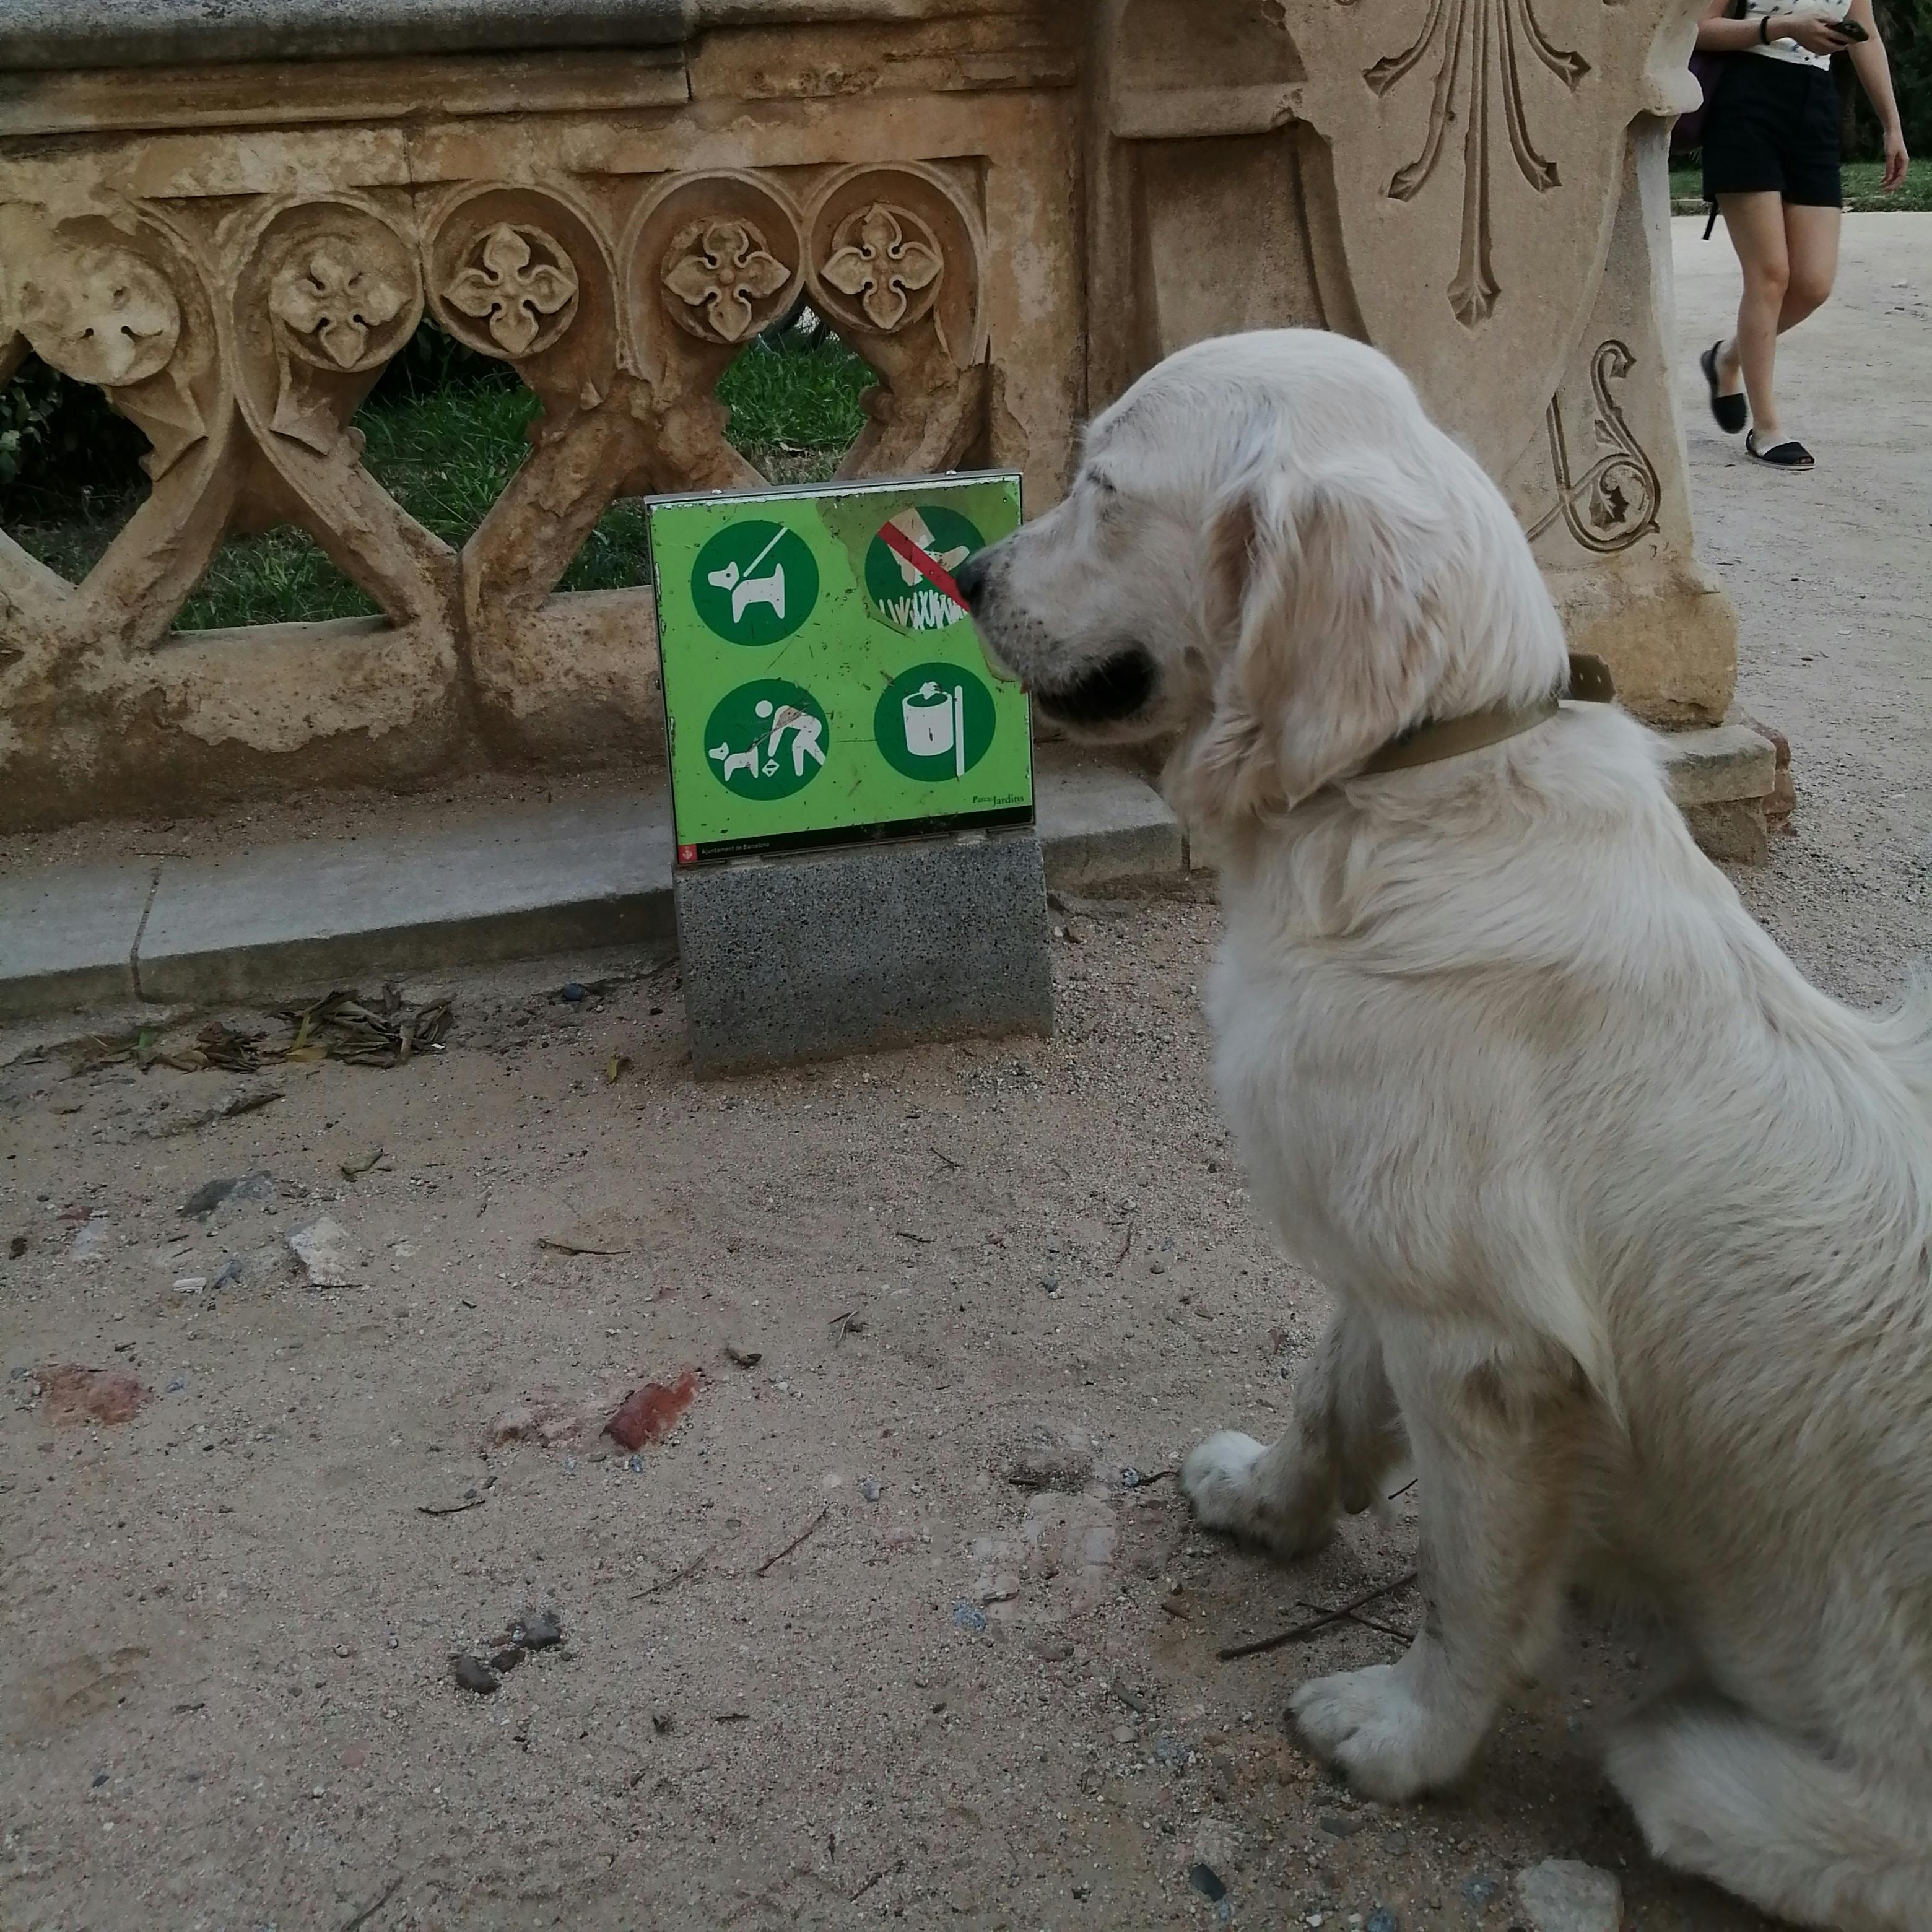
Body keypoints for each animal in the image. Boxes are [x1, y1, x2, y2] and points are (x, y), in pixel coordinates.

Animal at [958, 332, 1932, 1932]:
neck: (1404, 787)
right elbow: (1325, 1397)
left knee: (1713, 1782)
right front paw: (1267, 1502)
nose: (969, 572)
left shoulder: (1491, 1356)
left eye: (1101, 486)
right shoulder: (1394, 1261)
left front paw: (1406, 1735)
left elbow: (1465, 1584)